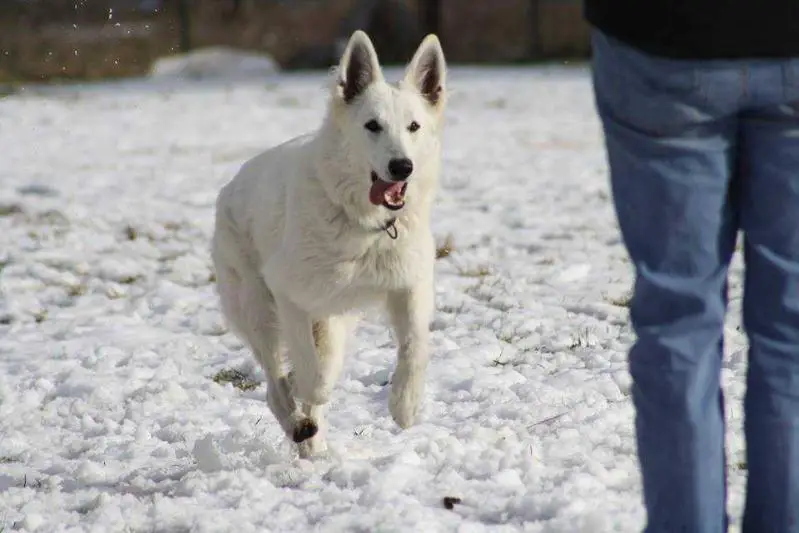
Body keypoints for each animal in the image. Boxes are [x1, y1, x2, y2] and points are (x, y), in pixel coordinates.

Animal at [212, 29, 446, 456]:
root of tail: (232, 184)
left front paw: (405, 404)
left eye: (414, 126)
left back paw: (312, 443)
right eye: (372, 126)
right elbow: (310, 371)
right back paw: (298, 424)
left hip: (333, 324)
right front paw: (307, 388)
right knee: (276, 385)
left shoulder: (410, 285)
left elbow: (415, 345)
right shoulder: (288, 293)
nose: (402, 167)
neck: (365, 225)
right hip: (257, 309)